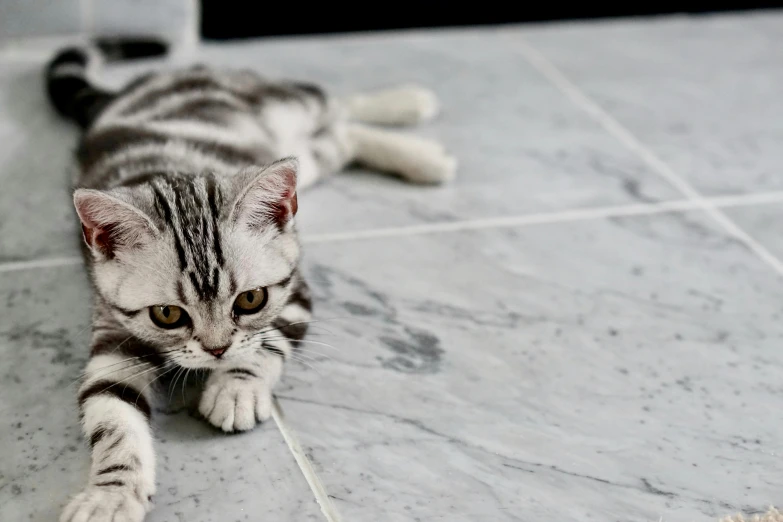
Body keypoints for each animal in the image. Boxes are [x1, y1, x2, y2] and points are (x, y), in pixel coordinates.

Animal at [47, 39, 454, 520]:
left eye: (250, 300)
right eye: (167, 314)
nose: (217, 350)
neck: (170, 173)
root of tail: (125, 93)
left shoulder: (294, 290)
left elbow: (268, 341)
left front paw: (235, 388)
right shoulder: (112, 329)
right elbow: (111, 414)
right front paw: (111, 493)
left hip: (282, 106)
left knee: (332, 105)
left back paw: (412, 114)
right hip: (302, 157)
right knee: (338, 139)